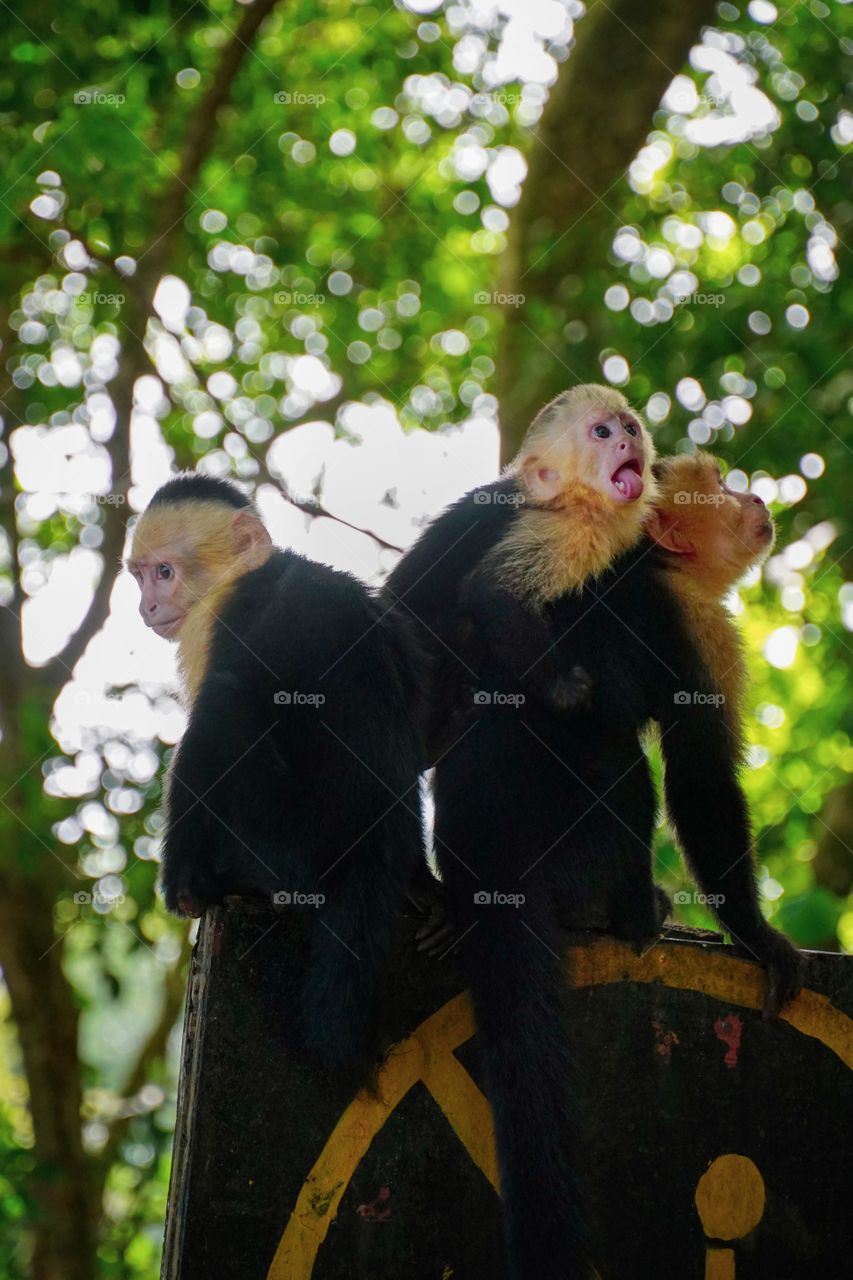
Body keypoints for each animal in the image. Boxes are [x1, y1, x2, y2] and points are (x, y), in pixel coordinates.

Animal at [126, 472, 429, 1069]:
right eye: (141, 575)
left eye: (165, 573)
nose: (147, 605)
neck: (246, 574)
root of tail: (371, 851)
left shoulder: (221, 620)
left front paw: (185, 887)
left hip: (289, 848)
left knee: (223, 706)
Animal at [383, 385, 804, 1280]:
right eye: (721, 486)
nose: (755, 499)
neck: (653, 565)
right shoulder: (692, 626)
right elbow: (697, 780)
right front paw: (756, 937)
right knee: (621, 762)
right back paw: (632, 915)